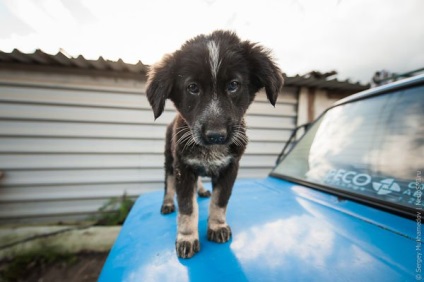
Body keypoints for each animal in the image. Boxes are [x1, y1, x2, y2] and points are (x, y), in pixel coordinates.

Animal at [147, 30, 284, 258]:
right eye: (192, 88)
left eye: (233, 85)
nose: (216, 135)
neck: (211, 151)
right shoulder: (183, 167)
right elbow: (187, 206)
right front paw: (187, 237)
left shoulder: (230, 167)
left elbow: (220, 201)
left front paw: (217, 226)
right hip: (169, 159)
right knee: (168, 182)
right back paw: (167, 203)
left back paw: (201, 190)